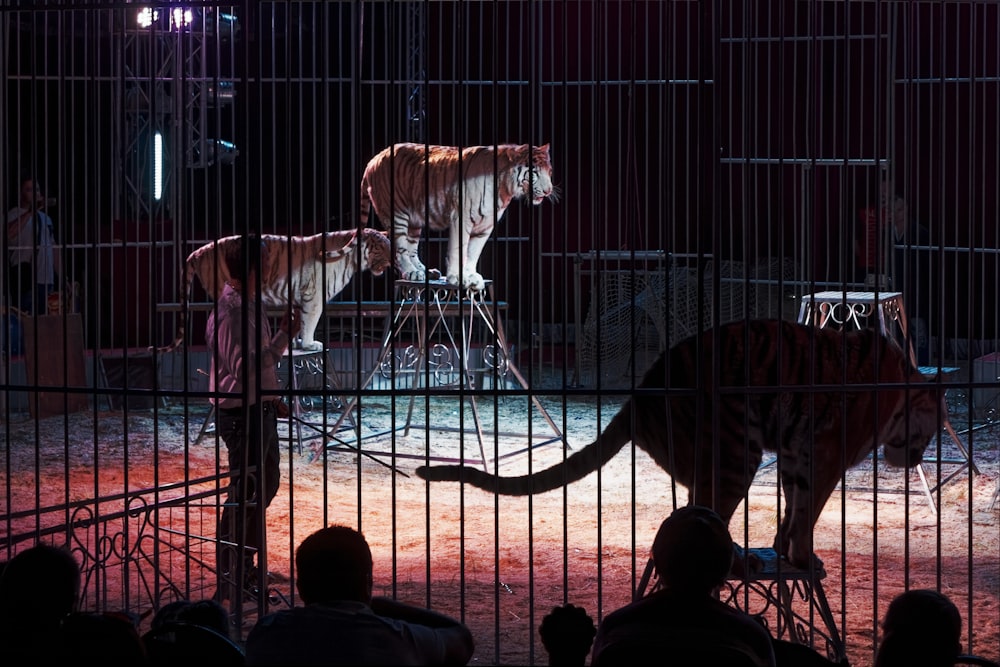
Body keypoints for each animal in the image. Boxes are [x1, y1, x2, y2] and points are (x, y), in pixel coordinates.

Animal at [362, 142, 564, 290]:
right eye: (534, 173)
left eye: (549, 171)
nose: (548, 191)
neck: (505, 189)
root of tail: (374, 158)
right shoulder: (462, 217)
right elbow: (457, 250)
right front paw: (455, 278)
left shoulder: (486, 226)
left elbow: (473, 252)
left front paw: (470, 276)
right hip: (397, 213)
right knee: (400, 249)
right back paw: (412, 272)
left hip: (414, 219)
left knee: (411, 247)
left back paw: (425, 272)